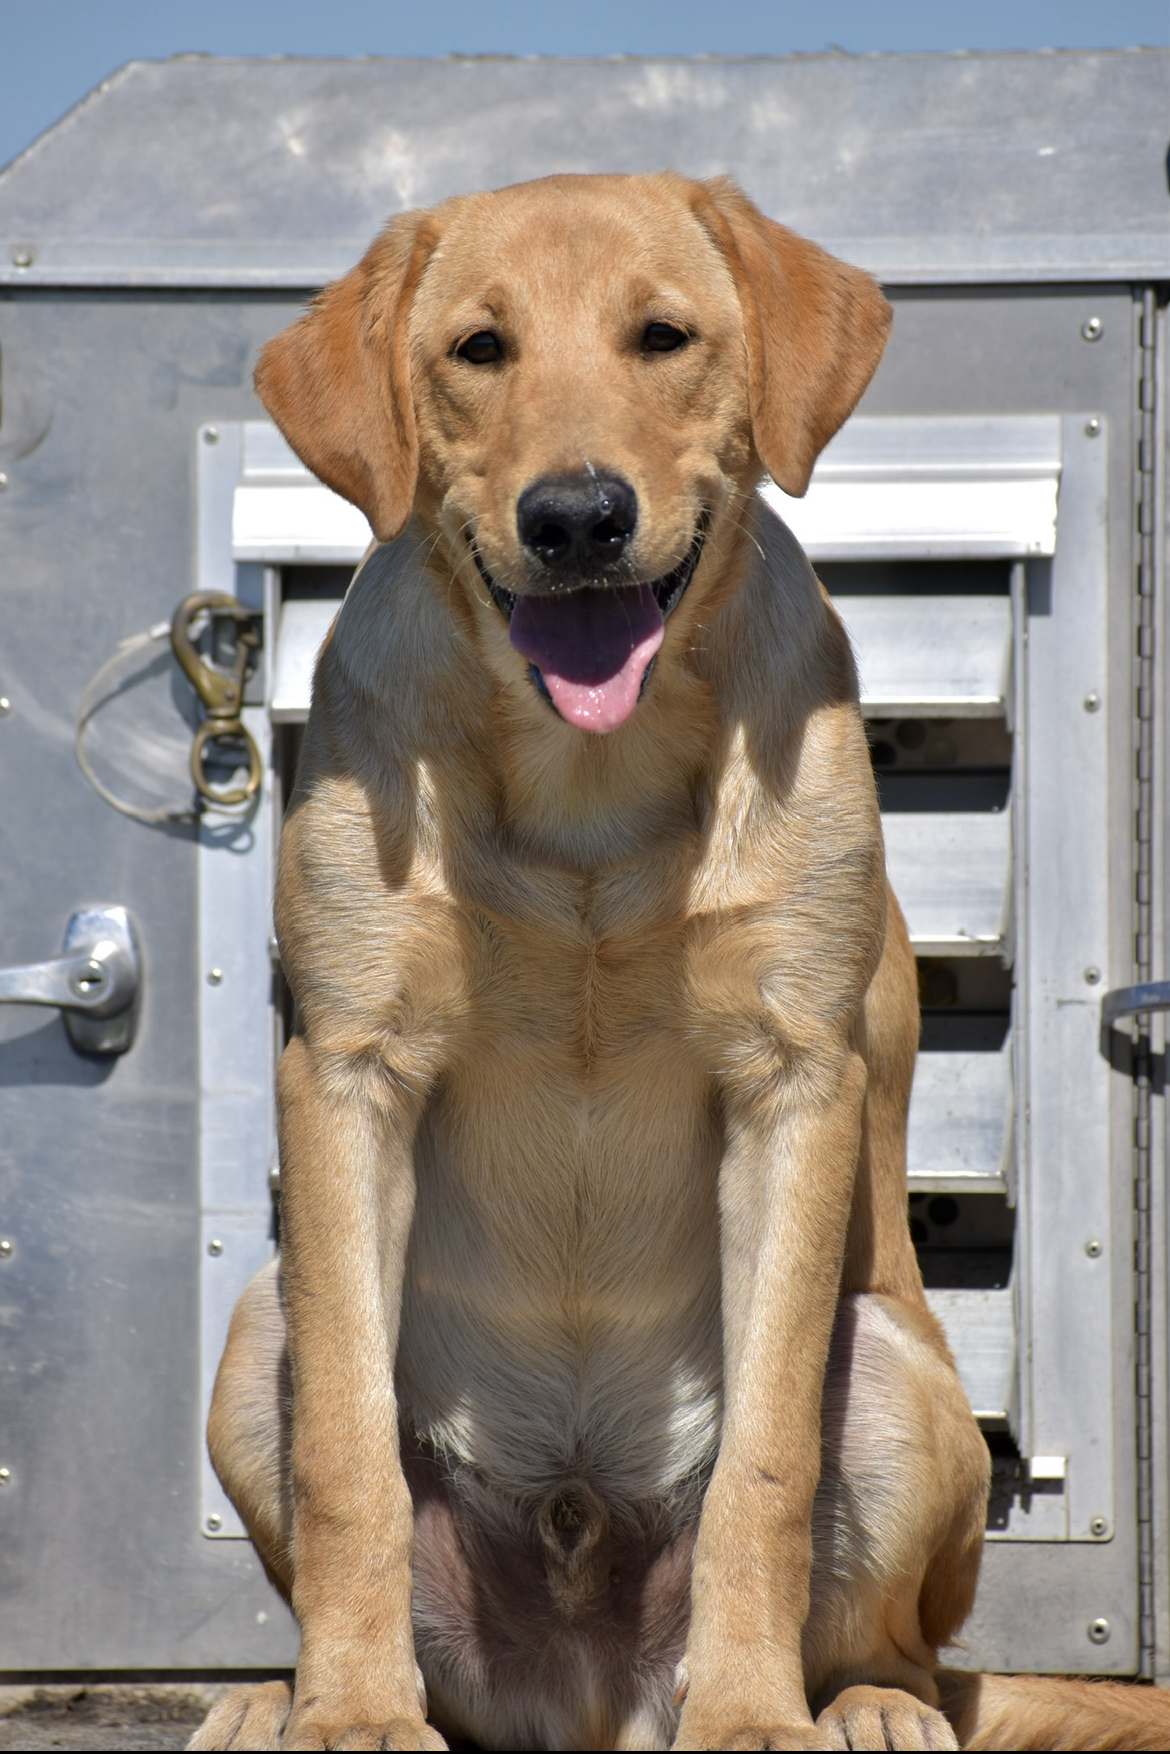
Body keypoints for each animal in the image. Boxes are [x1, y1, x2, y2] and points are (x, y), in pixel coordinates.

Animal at [187, 171, 1164, 1746]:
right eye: (478, 349)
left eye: (663, 336)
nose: (578, 517)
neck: (588, 782)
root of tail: (587, 1688)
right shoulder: (347, 1072)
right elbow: (348, 1458)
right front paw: (346, 1708)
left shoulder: (790, 1082)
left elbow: (761, 1468)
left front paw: (753, 1711)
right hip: (255, 1322)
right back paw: (273, 1699)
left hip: (898, 1375)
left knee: (911, 1652)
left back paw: (860, 1706)